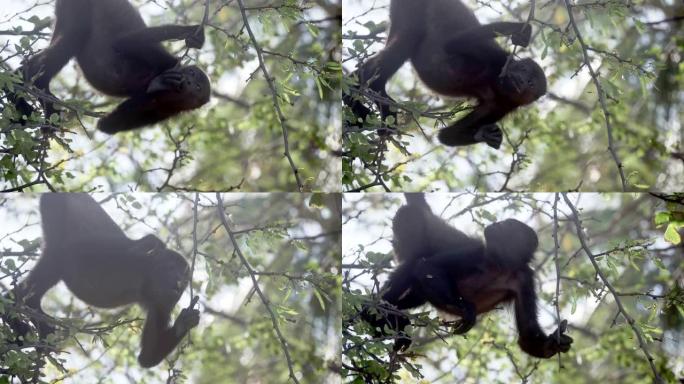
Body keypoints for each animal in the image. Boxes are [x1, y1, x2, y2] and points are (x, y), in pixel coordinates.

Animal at [5, 194, 199, 368]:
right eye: (172, 269)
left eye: (184, 279)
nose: (179, 283)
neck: (145, 278)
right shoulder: (124, 252)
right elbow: (76, 248)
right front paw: (148, 242)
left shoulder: (162, 304)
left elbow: (147, 358)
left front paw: (185, 322)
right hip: (55, 208)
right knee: (58, 257)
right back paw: (16, 306)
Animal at [8, 0, 210, 134]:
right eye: (192, 74)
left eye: (197, 87)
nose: (188, 81)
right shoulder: (168, 63)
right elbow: (128, 42)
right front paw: (191, 33)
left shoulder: (167, 110)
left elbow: (108, 126)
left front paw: (155, 85)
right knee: (75, 35)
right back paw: (28, 83)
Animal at [344, 0, 548, 149]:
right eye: (524, 71)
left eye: (531, 83)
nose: (520, 79)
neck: (499, 85)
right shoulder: (498, 59)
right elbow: (457, 42)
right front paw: (521, 30)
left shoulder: (501, 106)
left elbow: (446, 136)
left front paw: (483, 134)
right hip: (411, 7)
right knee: (408, 38)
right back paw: (357, 90)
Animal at [360, 194, 576, 358]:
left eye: (506, 227)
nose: (495, 224)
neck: (500, 265)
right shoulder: (475, 252)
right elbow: (428, 266)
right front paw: (464, 307)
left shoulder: (524, 279)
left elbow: (528, 335)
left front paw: (552, 345)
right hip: (407, 224)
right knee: (414, 263)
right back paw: (372, 311)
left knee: (416, 285)